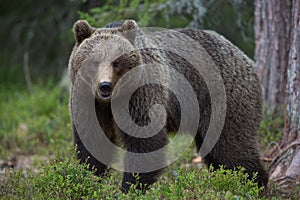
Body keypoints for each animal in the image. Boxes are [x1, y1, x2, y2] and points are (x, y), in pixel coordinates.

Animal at [68, 19, 270, 192]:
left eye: (117, 62)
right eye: (94, 62)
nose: (105, 86)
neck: (111, 101)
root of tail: (244, 56)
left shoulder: (140, 95)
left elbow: (145, 142)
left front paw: (130, 187)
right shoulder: (87, 101)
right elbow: (93, 141)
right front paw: (90, 180)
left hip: (223, 98)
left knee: (232, 145)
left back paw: (253, 184)